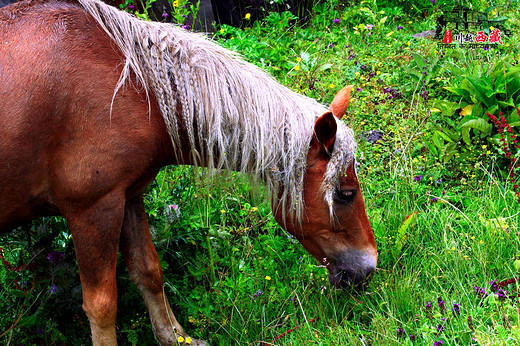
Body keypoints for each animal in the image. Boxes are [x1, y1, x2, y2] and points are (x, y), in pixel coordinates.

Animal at [0, 0, 376, 344]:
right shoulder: (93, 210)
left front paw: (175, 336)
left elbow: (149, 271)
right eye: (345, 194)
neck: (134, 87)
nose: (370, 267)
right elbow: (102, 306)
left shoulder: (128, 196)